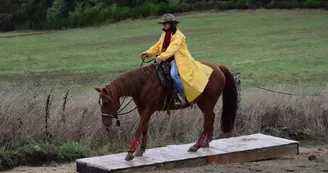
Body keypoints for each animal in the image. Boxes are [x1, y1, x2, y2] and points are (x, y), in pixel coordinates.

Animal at [93, 60, 237, 161]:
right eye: (100, 102)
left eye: (106, 102)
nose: (105, 122)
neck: (143, 83)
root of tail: (217, 67)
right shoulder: (142, 110)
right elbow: (144, 128)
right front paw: (141, 150)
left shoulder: (148, 110)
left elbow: (139, 129)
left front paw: (130, 153)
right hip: (204, 103)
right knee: (211, 117)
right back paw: (206, 142)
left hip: (207, 102)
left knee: (207, 119)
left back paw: (196, 146)